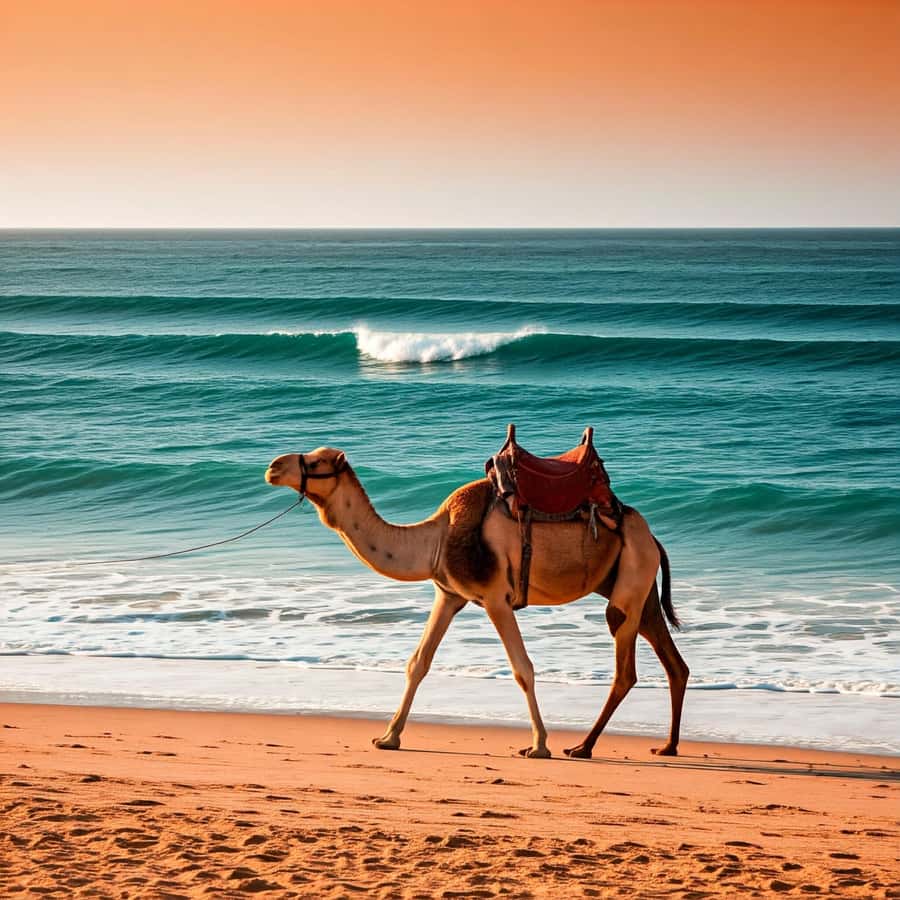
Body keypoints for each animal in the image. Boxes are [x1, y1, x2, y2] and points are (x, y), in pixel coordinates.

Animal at [265, 446, 689, 759]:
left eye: (315, 462)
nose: (272, 467)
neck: (435, 539)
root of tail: (653, 536)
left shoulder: (494, 597)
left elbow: (522, 669)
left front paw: (538, 746)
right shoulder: (449, 594)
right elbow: (418, 663)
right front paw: (388, 738)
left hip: (631, 576)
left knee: (624, 665)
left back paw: (582, 747)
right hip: (638, 586)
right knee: (673, 662)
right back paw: (666, 746)